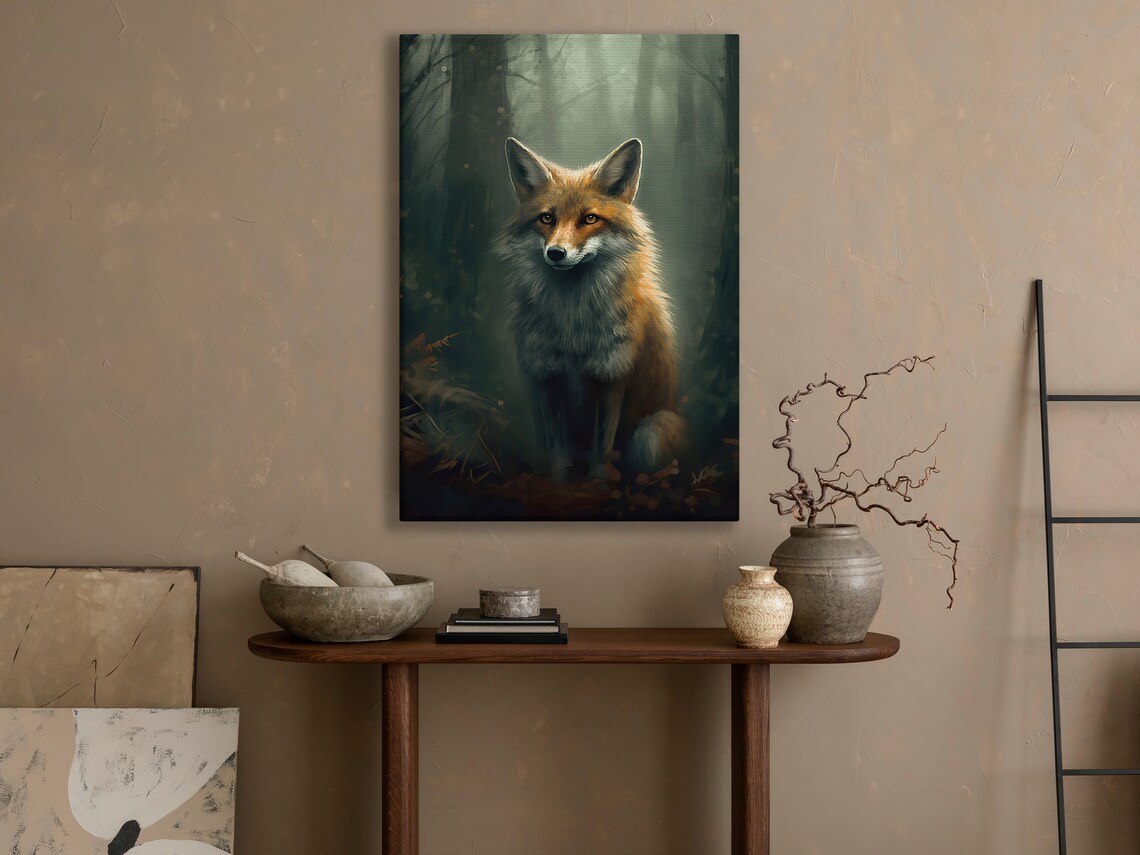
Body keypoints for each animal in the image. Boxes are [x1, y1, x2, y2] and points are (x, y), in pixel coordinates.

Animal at [495, 136, 687, 481]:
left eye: (590, 219)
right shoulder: (547, 377)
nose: (556, 253)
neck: (573, 326)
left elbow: (601, 453)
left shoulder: (612, 375)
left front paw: (596, 485)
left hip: (653, 430)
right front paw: (559, 485)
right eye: (547, 218)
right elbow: (558, 455)